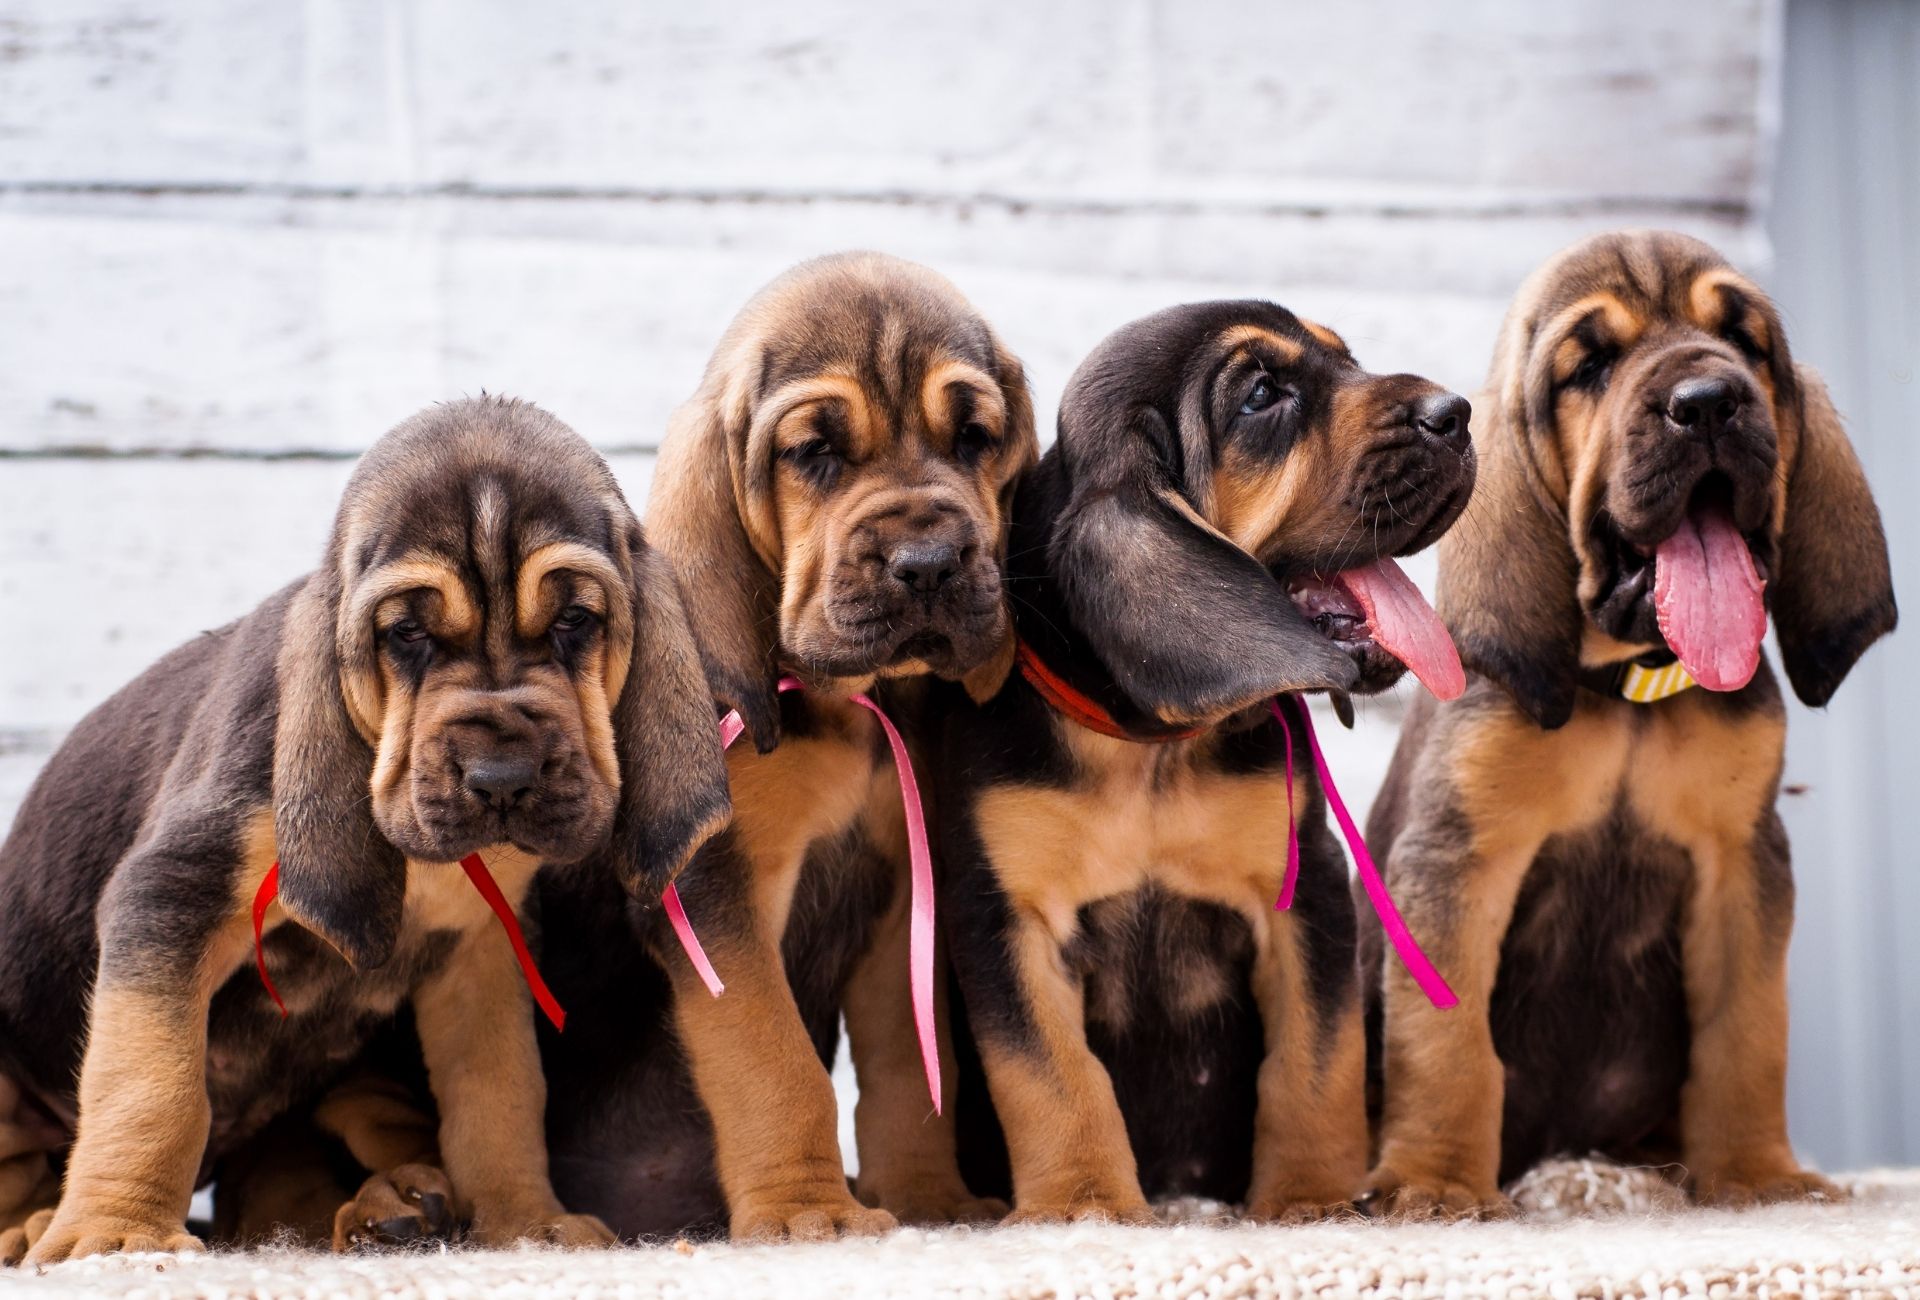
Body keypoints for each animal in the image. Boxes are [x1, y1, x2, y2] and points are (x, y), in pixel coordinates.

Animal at [0, 395, 729, 1259]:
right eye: (405, 634)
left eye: (575, 621)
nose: (502, 778)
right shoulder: (173, 894)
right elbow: (150, 1085)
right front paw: (117, 1234)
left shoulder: (481, 952)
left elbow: (500, 1095)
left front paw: (526, 1221)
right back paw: (34, 1225)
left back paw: (396, 1205)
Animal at [533, 251, 1044, 1236]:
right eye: (814, 453)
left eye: (973, 438)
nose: (929, 564)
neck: (852, 705)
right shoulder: (714, 890)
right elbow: (775, 1062)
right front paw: (813, 1210)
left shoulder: (898, 895)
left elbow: (908, 1068)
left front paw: (926, 1196)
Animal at [936, 299, 1474, 1221]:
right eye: (1261, 396)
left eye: (1347, 359)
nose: (1461, 412)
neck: (1153, 748)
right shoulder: (1006, 919)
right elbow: (1051, 1075)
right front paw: (1083, 1200)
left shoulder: (1305, 890)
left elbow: (1315, 1062)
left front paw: (1309, 1197)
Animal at [1367, 225, 1889, 1213]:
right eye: (1592, 364)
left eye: (1744, 342)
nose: (1711, 401)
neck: (1627, 692)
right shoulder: (1460, 857)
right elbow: (1448, 1043)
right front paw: (1437, 1186)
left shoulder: (1742, 861)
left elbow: (1746, 1033)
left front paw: (1756, 1175)